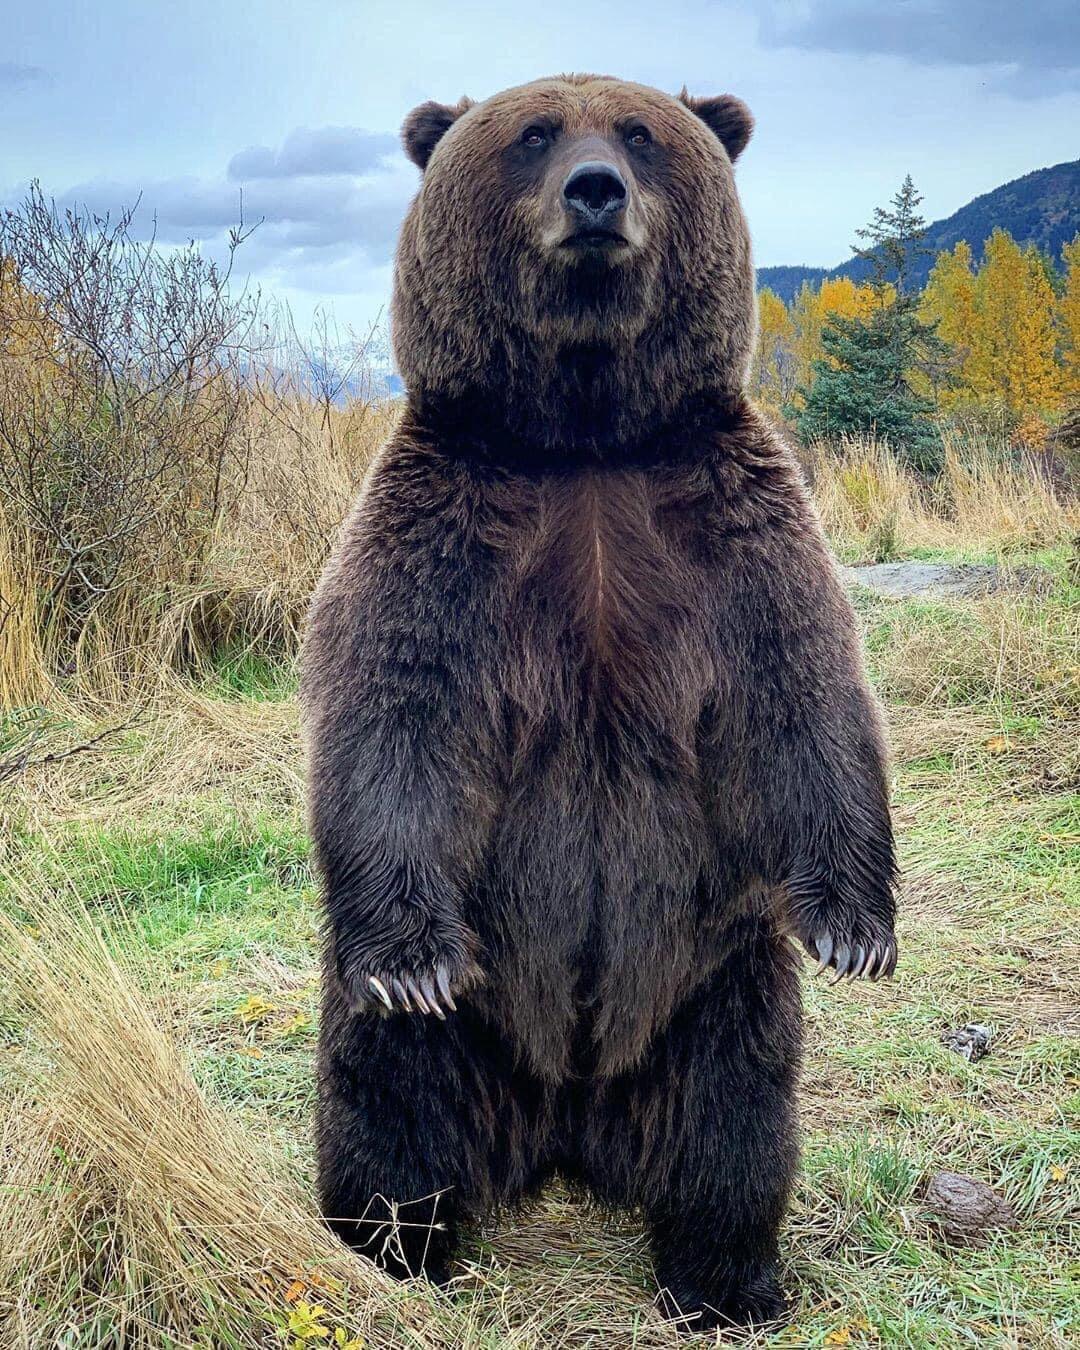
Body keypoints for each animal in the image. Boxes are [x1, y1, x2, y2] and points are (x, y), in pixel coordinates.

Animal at [299, 73, 896, 1328]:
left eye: (640, 134)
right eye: (533, 134)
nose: (593, 193)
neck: (582, 434)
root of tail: (567, 1130)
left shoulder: (723, 512)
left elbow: (801, 691)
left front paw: (858, 931)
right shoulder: (447, 517)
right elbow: (392, 705)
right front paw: (410, 960)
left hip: (715, 977)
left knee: (736, 1116)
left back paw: (726, 1278)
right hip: (469, 1010)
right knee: (388, 1094)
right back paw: (389, 1249)